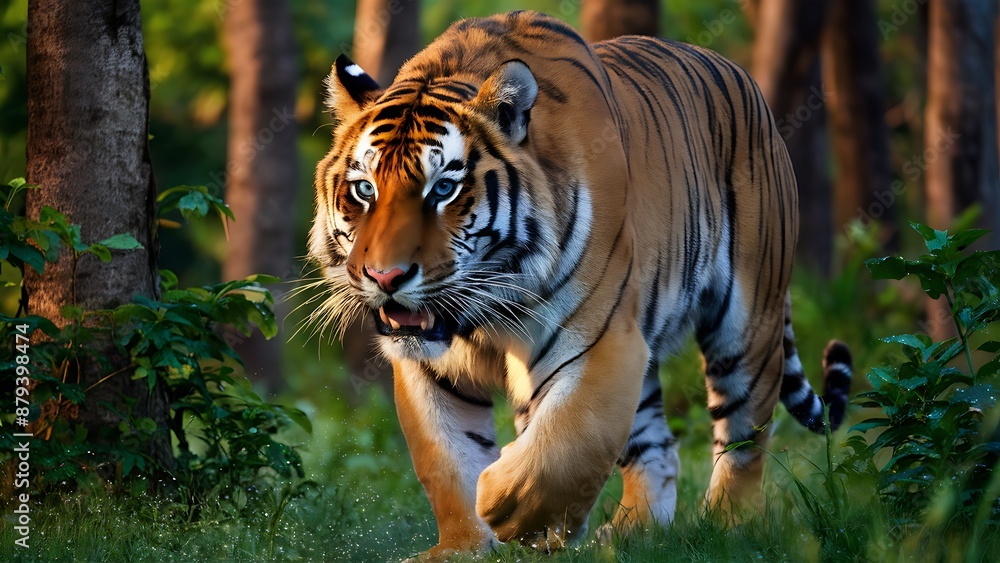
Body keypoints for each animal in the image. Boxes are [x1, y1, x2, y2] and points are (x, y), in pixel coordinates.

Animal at [308, 10, 852, 558]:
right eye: (364, 189)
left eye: (443, 188)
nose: (385, 276)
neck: (483, 311)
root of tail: (743, 79)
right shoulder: (430, 370)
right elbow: (446, 460)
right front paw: (465, 546)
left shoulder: (600, 341)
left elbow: (565, 445)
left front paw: (504, 506)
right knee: (658, 448)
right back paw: (632, 535)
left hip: (747, 324)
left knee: (743, 436)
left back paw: (726, 528)